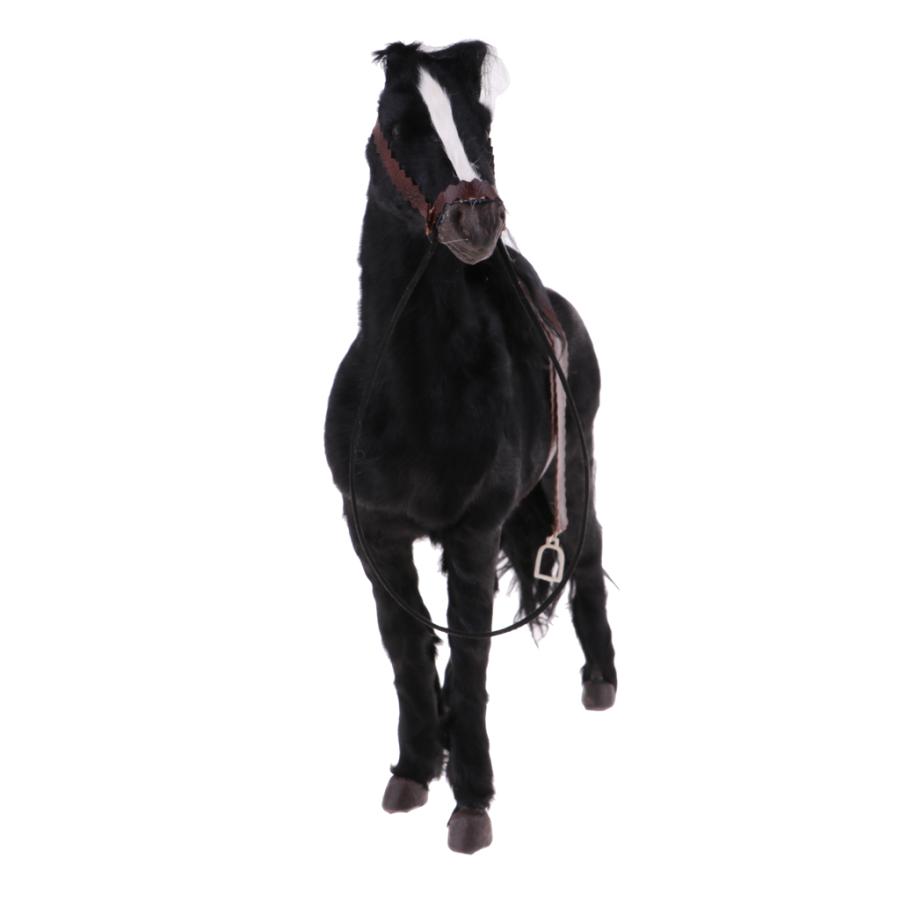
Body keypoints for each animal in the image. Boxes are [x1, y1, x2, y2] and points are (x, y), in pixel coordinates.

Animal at [324, 40, 616, 854]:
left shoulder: (473, 534)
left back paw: (601, 682)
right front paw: (417, 768)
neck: (416, 390)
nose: (476, 218)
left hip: (574, 477)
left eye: (479, 123)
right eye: (401, 125)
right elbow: (407, 647)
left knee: (587, 555)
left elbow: (471, 656)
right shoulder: (375, 536)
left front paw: (472, 803)